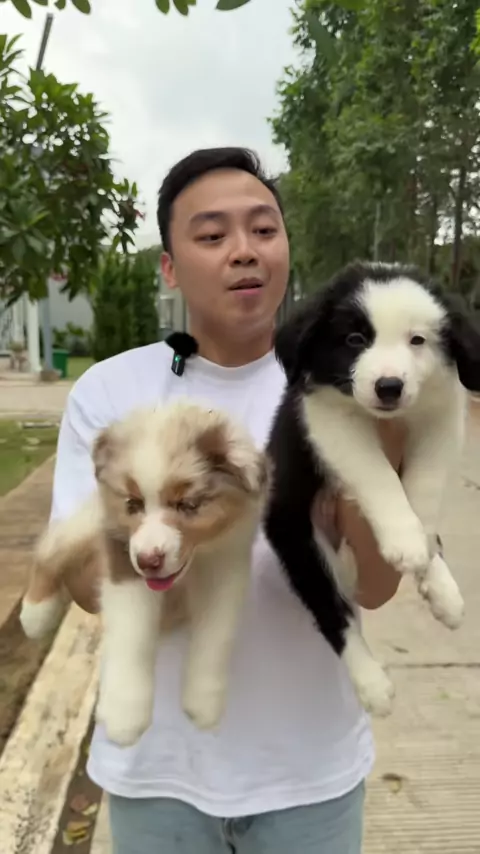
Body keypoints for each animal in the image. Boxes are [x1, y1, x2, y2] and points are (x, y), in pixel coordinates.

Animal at [20, 399, 268, 746]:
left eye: (187, 505)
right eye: (133, 504)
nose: (149, 560)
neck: (197, 561)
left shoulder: (226, 566)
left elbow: (215, 635)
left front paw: (203, 702)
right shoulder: (122, 559)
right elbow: (132, 632)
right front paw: (125, 715)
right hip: (83, 525)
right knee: (49, 549)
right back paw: (35, 614)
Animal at [264, 260, 480, 717]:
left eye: (417, 340)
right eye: (355, 340)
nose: (389, 387)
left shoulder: (440, 417)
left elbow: (425, 487)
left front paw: (425, 555)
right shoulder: (328, 420)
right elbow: (378, 474)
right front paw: (406, 541)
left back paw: (444, 591)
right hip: (295, 533)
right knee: (331, 609)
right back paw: (371, 683)